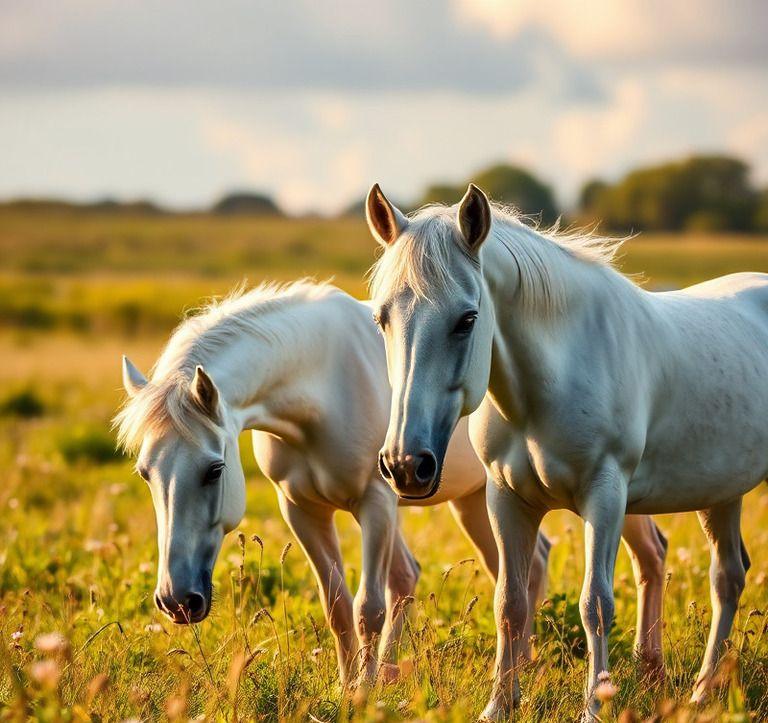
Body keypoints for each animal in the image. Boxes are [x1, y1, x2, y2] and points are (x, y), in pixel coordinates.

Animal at [112, 280, 664, 688]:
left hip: (613, 498)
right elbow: (339, 606)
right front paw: (350, 686)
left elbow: (368, 607)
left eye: (215, 470)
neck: (321, 383)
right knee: (526, 565)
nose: (177, 601)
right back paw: (523, 665)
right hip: (475, 501)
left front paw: (365, 691)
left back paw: (645, 668)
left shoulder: (375, 503)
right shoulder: (302, 509)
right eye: (144, 473)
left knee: (651, 552)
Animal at [368, 184, 768, 720]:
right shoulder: (506, 499)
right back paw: (698, 689)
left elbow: (595, 604)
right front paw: (500, 704)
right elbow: (510, 603)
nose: (406, 465)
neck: (553, 379)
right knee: (727, 576)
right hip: (722, 491)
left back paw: (702, 692)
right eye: (381, 317)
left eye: (467, 319)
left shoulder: (606, 495)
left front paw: (594, 706)